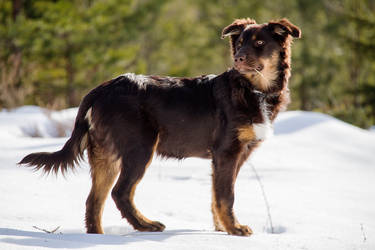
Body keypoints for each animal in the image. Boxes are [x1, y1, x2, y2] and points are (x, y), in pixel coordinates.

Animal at [19, 18, 302, 236]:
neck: (253, 89)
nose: (238, 58)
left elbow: (215, 196)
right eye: (240, 42)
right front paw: (235, 230)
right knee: (121, 193)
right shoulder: (227, 152)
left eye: (259, 43)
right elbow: (226, 196)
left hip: (105, 153)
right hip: (140, 147)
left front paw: (221, 229)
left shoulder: (236, 155)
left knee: (94, 201)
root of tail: (103, 88)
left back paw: (97, 236)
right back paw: (146, 225)